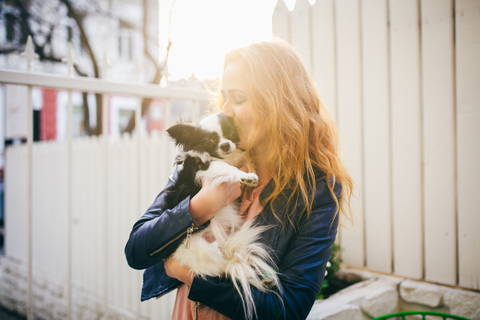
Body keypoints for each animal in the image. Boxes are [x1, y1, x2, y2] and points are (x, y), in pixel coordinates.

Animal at [166, 114, 282, 318]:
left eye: (232, 132)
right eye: (208, 141)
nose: (226, 145)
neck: (228, 157)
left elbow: (246, 160)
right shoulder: (205, 167)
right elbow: (227, 169)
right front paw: (246, 176)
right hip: (206, 250)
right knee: (227, 268)